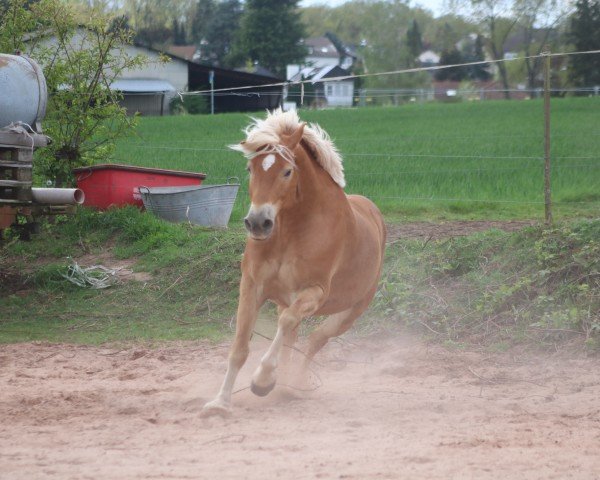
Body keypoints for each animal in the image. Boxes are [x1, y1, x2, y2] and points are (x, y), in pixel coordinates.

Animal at [202, 109, 386, 416]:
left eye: (287, 171)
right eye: (250, 169)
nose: (257, 223)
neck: (291, 232)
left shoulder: (314, 291)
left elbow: (288, 324)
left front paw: (262, 381)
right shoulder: (252, 286)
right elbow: (240, 347)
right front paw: (220, 402)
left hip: (350, 311)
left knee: (314, 340)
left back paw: (293, 386)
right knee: (292, 338)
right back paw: (284, 383)